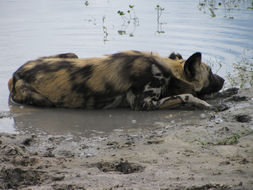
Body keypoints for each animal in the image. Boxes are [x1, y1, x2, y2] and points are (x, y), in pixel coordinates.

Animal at [8, 50, 224, 110]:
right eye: (211, 72)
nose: (223, 80)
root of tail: (15, 75)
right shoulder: (144, 104)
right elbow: (186, 96)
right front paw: (205, 104)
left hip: (72, 55)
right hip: (43, 100)